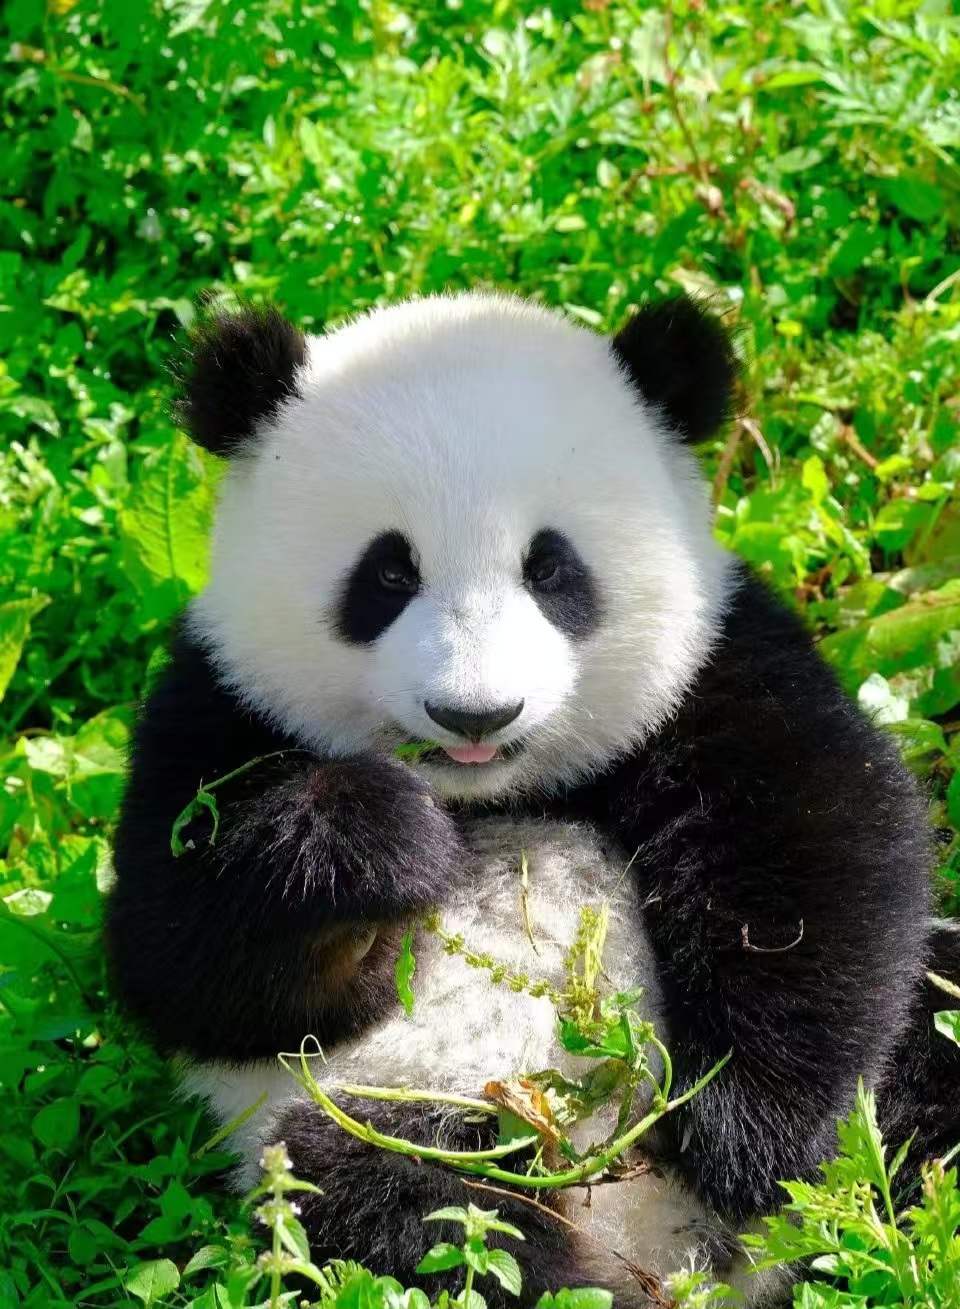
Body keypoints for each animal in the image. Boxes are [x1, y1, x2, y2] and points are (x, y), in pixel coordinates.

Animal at [106, 291, 960, 1306]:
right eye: (388, 572)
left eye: (550, 568)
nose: (474, 711)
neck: (494, 793)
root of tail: (662, 1254)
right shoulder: (213, 706)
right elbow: (181, 957)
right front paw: (379, 846)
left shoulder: (723, 666)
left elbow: (822, 861)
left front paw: (752, 1144)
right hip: (389, 1112)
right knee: (400, 1207)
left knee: (933, 1049)